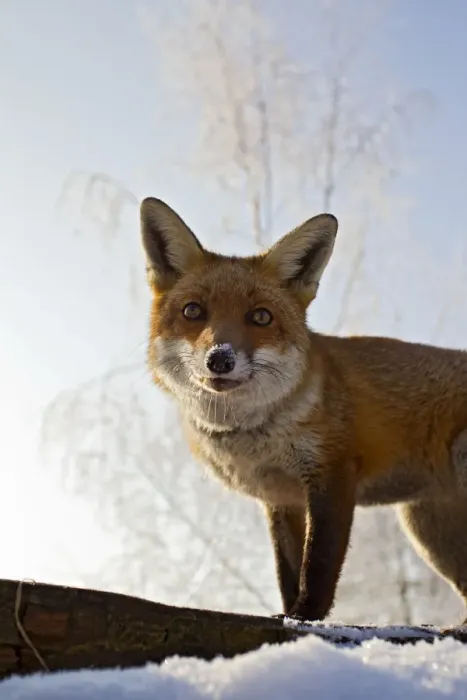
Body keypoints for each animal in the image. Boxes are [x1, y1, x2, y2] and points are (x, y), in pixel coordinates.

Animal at [140, 195, 467, 626]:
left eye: (261, 316)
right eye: (193, 312)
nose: (220, 358)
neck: (256, 438)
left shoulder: (333, 473)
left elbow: (319, 565)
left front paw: (306, 618)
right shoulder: (281, 498)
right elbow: (288, 571)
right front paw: (287, 615)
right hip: (429, 531)